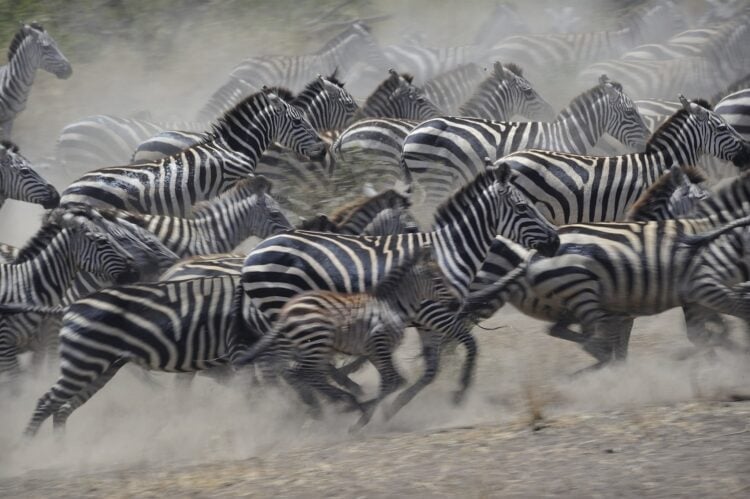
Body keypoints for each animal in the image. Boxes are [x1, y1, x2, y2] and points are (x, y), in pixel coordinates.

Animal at [236, 163, 560, 417]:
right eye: (523, 207)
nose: (555, 242)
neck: (448, 253)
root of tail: (252, 254)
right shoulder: (433, 312)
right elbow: (470, 344)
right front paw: (460, 393)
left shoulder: (427, 320)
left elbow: (431, 369)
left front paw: (396, 405)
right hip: (288, 311)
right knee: (286, 369)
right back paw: (333, 405)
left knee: (287, 369)